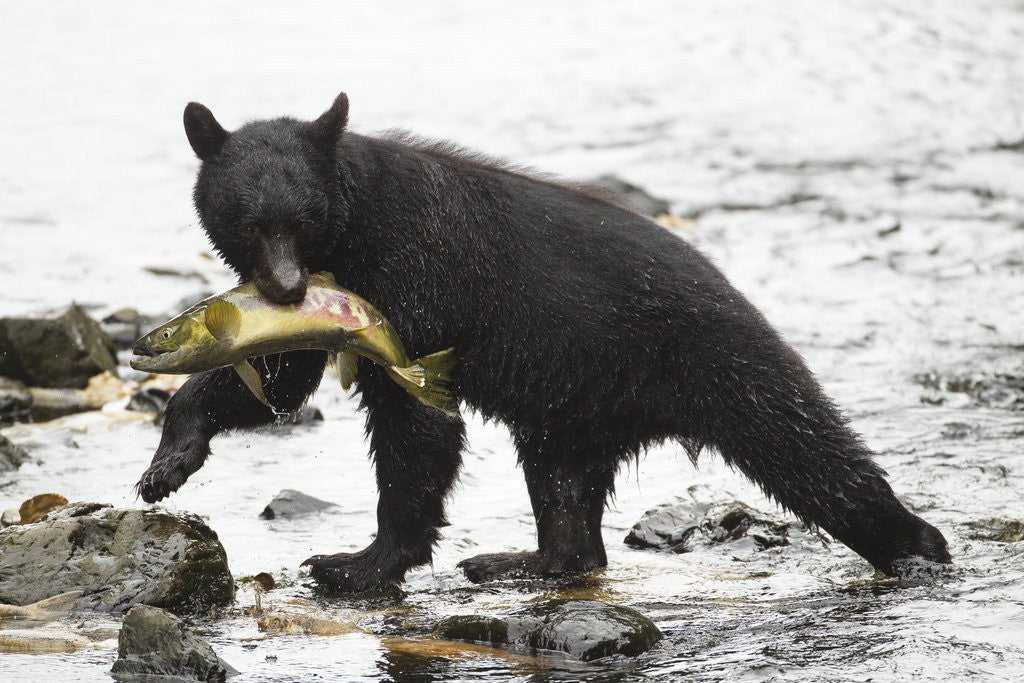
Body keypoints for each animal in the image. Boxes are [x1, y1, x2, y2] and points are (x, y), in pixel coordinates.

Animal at [136, 92, 951, 592]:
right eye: (249, 221)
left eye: (303, 219)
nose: (283, 288)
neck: (355, 231)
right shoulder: (339, 303)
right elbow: (281, 374)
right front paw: (167, 465)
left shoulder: (413, 283)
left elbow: (415, 422)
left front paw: (357, 562)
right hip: (573, 406)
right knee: (565, 488)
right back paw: (523, 560)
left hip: (720, 359)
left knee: (810, 450)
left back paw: (918, 546)